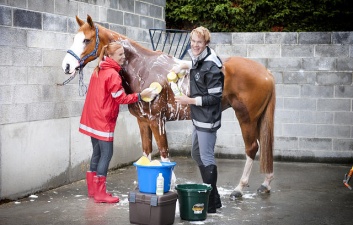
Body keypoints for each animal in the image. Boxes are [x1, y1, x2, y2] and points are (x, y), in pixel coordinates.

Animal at [61, 15, 276, 197]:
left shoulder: (157, 121)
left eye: (86, 40)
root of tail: (266, 72)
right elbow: (146, 151)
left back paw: (239, 188)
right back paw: (265, 183)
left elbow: (164, 153)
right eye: (74, 38)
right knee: (264, 146)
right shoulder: (143, 122)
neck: (143, 68)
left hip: (246, 117)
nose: (67, 66)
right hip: (257, 119)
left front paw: (169, 184)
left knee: (252, 148)